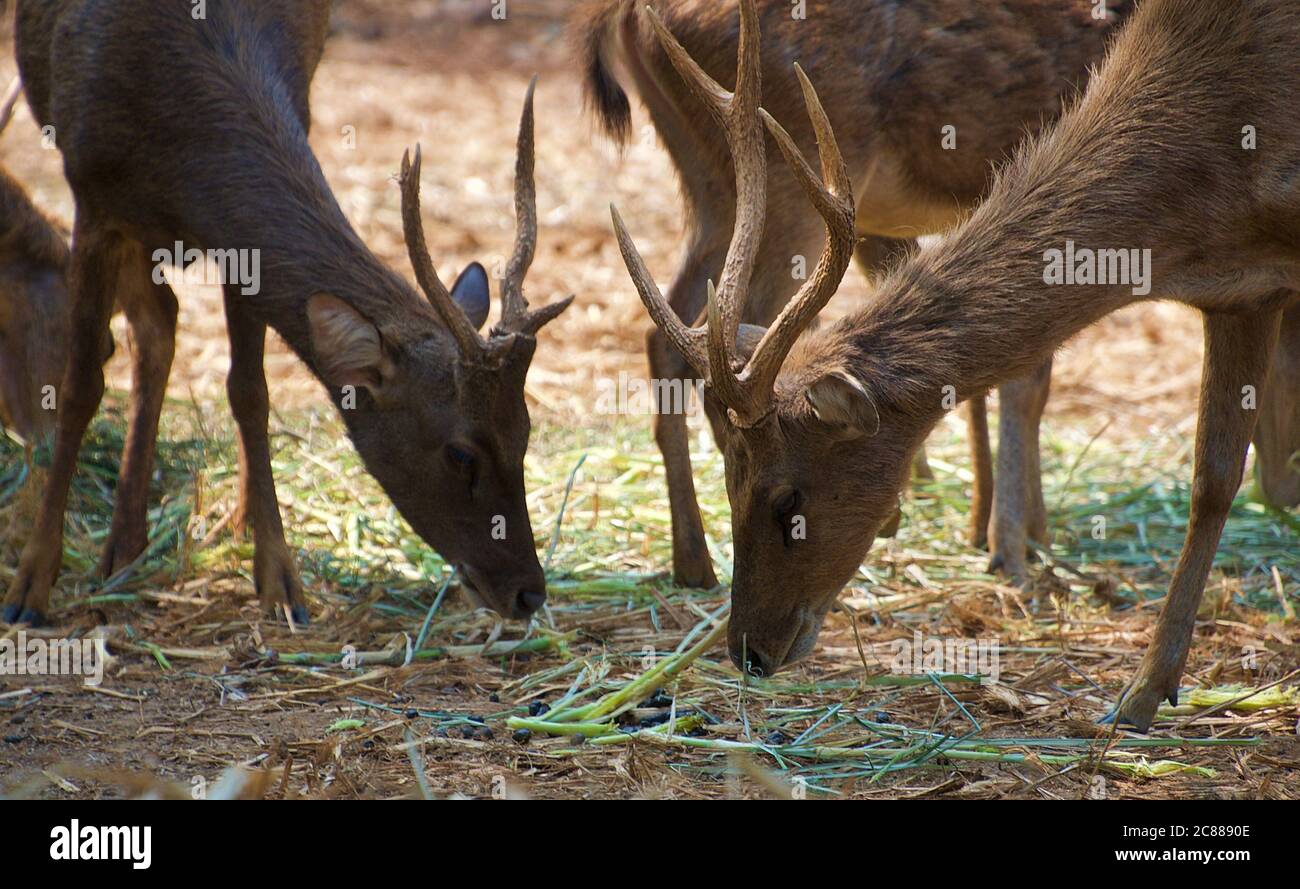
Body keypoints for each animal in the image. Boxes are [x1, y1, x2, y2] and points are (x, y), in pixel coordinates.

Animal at [1, 0, 569, 629]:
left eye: (525, 431)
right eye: (461, 452)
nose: (529, 593)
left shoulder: (239, 246)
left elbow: (250, 392)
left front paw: (279, 579)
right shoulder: (91, 198)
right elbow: (80, 386)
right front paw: (30, 586)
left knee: (166, 327)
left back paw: (174, 533)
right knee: (154, 327)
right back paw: (122, 548)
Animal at [579, 0, 1138, 590]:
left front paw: (1017, 530)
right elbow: (1025, 380)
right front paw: (1009, 546)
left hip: (715, 186)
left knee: (675, 329)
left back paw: (695, 560)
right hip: (793, 179)